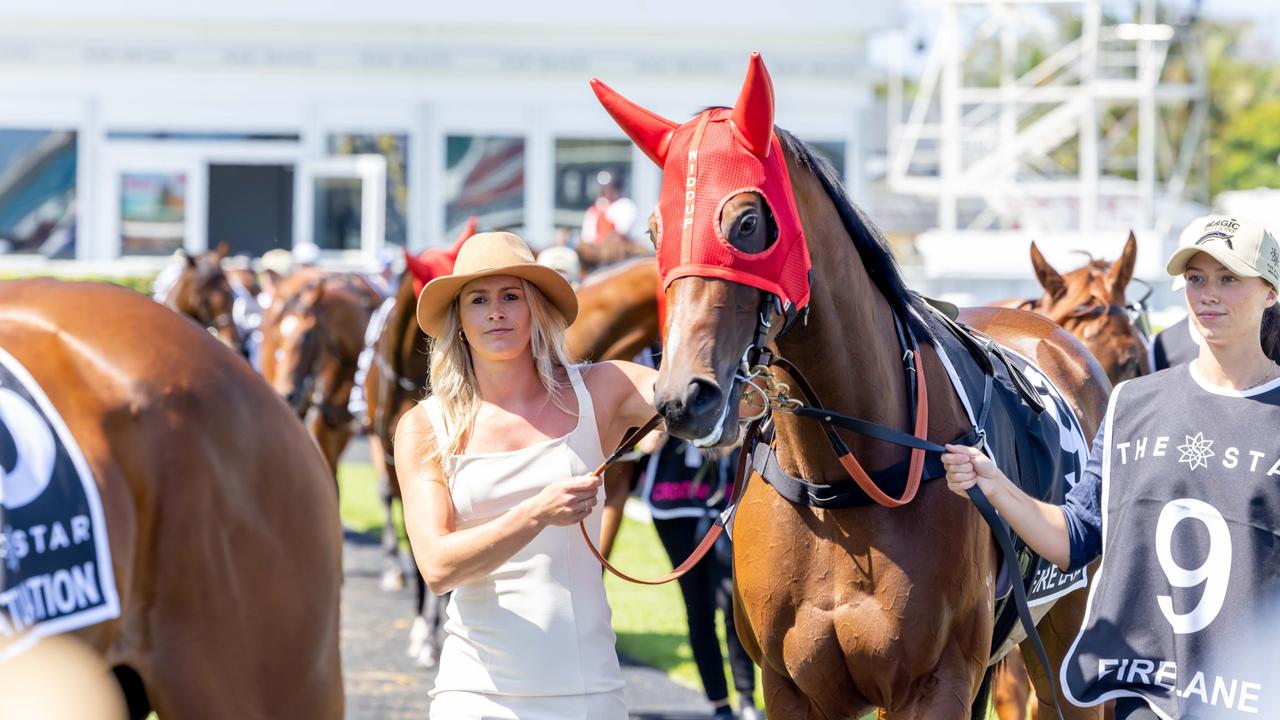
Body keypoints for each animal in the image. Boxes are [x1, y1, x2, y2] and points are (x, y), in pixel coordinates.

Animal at [596, 53, 1111, 712]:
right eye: (655, 233)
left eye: (747, 222)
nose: (685, 396)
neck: (842, 481)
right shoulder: (790, 685)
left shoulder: (934, 682)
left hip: (1062, 642)